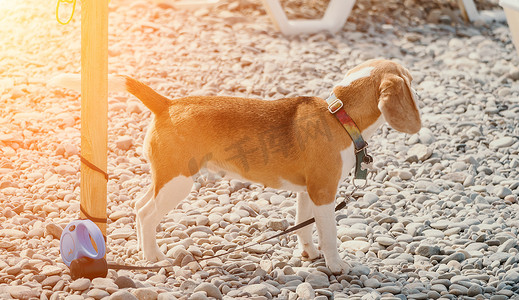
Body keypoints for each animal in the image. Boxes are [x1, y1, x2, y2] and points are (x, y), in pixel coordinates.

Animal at [49, 58, 422, 274]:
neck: (339, 116)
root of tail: (167, 104)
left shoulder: (308, 193)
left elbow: (304, 226)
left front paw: (308, 254)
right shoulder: (324, 193)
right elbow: (328, 233)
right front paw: (336, 264)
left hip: (165, 178)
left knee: (139, 205)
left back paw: (147, 251)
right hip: (179, 183)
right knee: (145, 213)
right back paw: (154, 257)